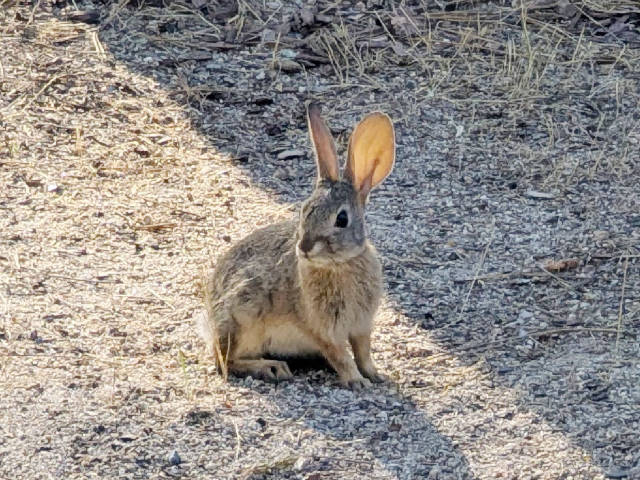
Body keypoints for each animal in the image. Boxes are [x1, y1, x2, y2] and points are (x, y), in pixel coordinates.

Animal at [198, 103, 395, 389]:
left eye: (342, 219)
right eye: (304, 211)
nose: (304, 248)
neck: (340, 264)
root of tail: (210, 322)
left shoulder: (361, 325)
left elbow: (363, 352)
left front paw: (376, 375)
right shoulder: (322, 329)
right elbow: (341, 357)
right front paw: (357, 381)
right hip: (242, 316)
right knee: (224, 360)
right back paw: (271, 368)